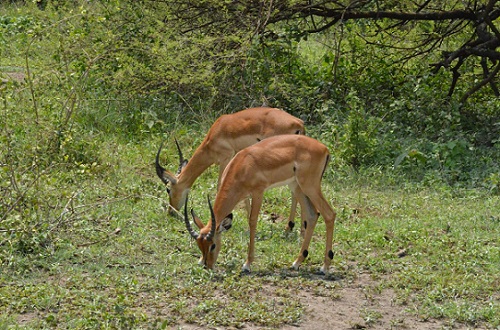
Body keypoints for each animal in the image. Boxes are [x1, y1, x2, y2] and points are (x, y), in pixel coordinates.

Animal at [156, 107, 304, 231]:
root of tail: (298, 123)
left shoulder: (226, 158)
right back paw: (291, 227)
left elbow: (219, 185)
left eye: (168, 189)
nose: (171, 211)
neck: (213, 136)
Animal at [184, 134, 336, 274]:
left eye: (213, 245)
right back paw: (297, 262)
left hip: (309, 186)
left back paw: (324, 267)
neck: (241, 166)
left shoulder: (258, 192)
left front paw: (247, 264)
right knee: (312, 215)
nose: (208, 266)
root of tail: (325, 148)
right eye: (200, 245)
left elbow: (252, 221)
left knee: (329, 214)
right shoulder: (244, 196)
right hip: (296, 186)